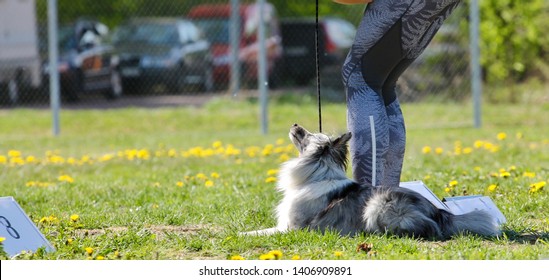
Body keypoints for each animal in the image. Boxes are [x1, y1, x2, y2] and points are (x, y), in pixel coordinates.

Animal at [242, 123, 498, 240]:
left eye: (307, 134)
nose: (295, 125)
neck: (318, 172)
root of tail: (441, 213)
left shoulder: (291, 228)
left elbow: (259, 232)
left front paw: (241, 235)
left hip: (379, 205)